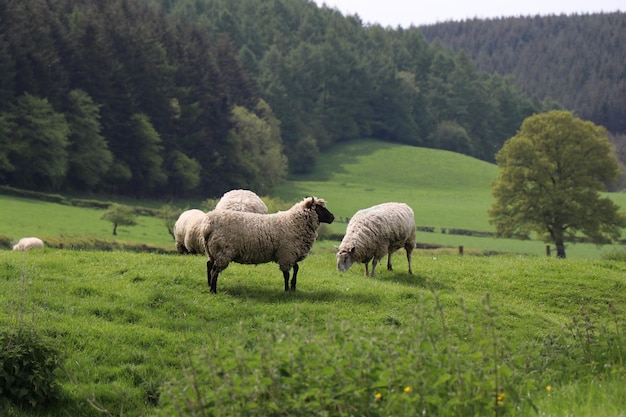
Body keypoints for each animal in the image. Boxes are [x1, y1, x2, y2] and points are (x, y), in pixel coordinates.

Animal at [202, 195, 334, 292]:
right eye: (320, 208)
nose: (332, 217)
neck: (294, 222)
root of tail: (207, 225)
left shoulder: (292, 254)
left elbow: (296, 268)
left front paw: (293, 286)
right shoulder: (286, 254)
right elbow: (286, 274)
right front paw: (286, 289)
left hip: (213, 251)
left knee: (210, 265)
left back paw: (209, 285)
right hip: (223, 252)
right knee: (214, 271)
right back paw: (213, 290)